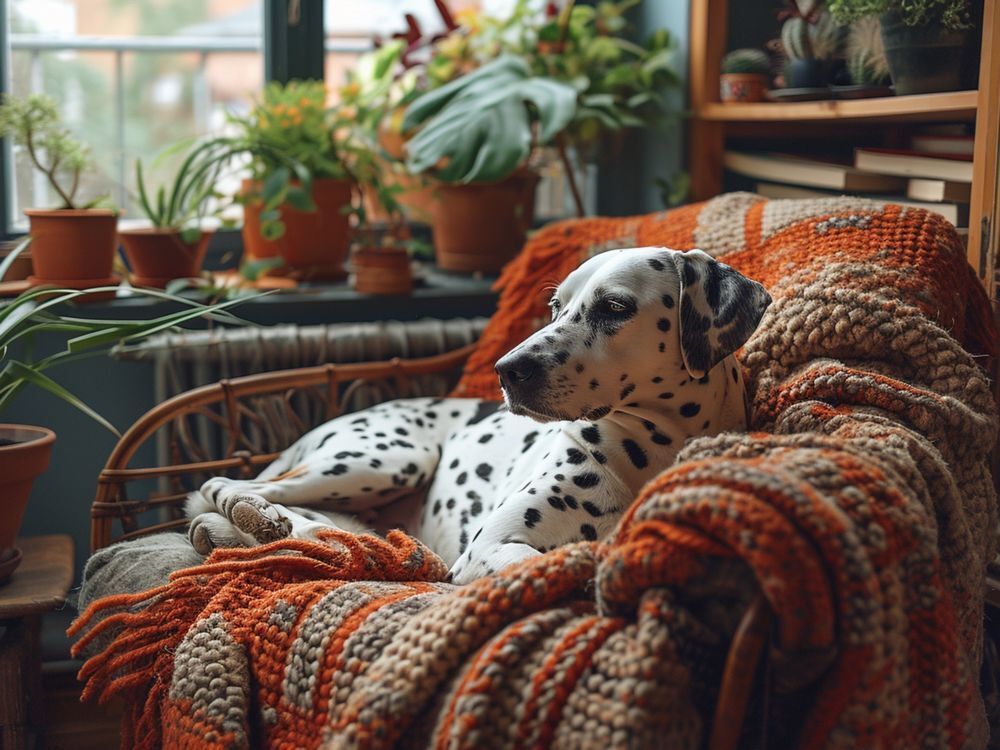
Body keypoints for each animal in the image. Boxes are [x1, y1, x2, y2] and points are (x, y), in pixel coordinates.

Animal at [184, 250, 768, 584]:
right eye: (555, 306)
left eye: (615, 308)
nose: (507, 370)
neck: (647, 450)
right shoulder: (489, 548)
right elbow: (539, 561)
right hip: (388, 458)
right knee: (229, 485)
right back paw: (250, 514)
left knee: (322, 526)